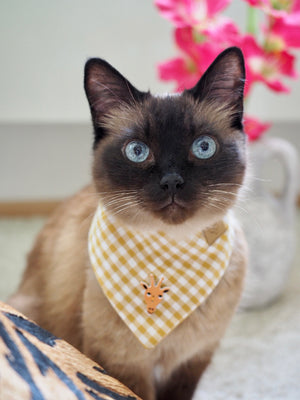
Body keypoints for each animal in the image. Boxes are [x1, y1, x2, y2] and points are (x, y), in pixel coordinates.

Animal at [9, 47, 248, 400]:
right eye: (137, 151)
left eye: (203, 147)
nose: (172, 181)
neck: (171, 248)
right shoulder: (125, 365)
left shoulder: (192, 361)